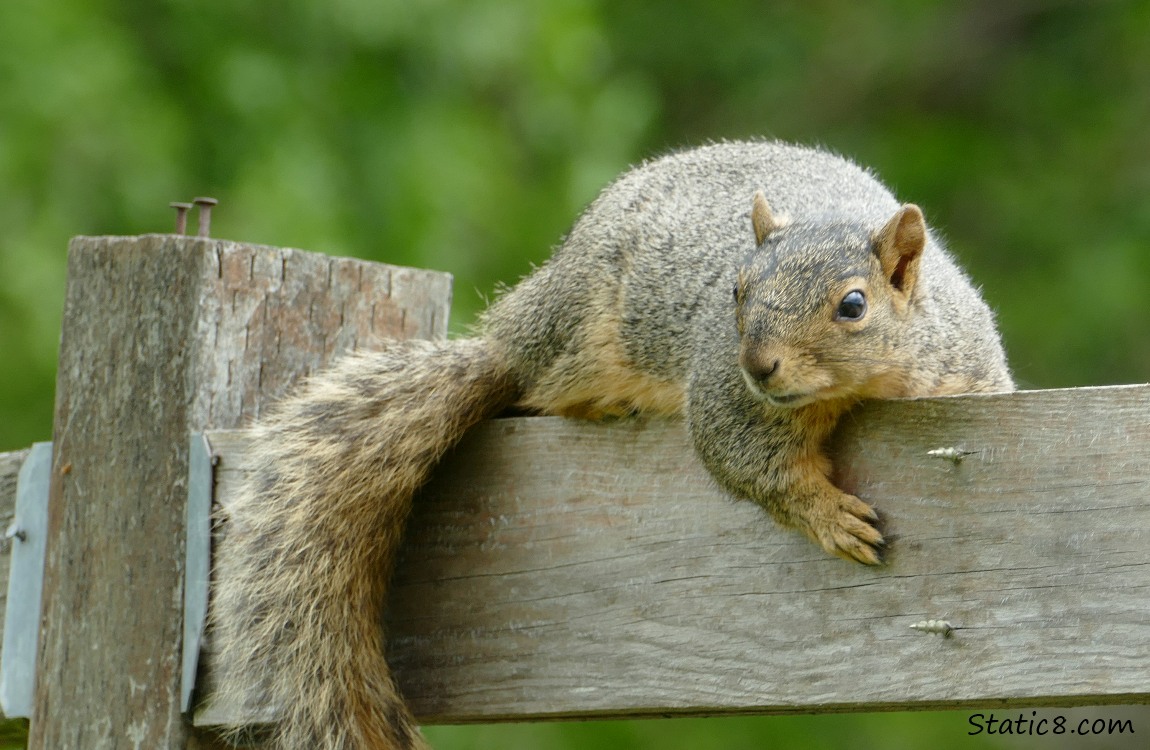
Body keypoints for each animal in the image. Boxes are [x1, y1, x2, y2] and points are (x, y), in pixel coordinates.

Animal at [209, 140, 1016, 750]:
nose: (757, 365)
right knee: (535, 385)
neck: (855, 390)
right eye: (735, 292)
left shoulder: (967, 372)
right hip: (578, 335)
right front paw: (829, 516)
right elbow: (746, 462)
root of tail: (521, 321)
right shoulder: (721, 393)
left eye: (853, 305)